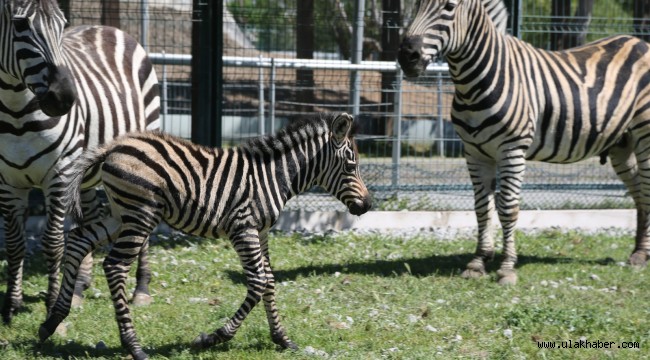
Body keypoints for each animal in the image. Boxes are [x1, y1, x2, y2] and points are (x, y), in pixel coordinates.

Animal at [0, 0, 159, 322]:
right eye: (20, 24)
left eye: (62, 25)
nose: (64, 98)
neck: (16, 111)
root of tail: (107, 27)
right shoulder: (9, 182)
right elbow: (14, 245)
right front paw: (12, 305)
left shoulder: (59, 174)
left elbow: (53, 243)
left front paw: (51, 305)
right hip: (86, 173)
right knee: (90, 219)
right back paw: (78, 287)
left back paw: (142, 289)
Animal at [40, 113, 372, 360]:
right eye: (352, 165)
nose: (368, 205)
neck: (273, 176)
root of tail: (113, 146)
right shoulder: (243, 227)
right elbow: (257, 282)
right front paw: (211, 338)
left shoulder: (261, 232)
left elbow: (269, 281)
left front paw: (282, 338)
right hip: (140, 213)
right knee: (115, 266)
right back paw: (133, 346)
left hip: (119, 213)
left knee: (78, 241)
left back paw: (53, 320)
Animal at [398, 0, 648, 286]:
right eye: (416, 5)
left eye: (449, 6)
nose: (406, 56)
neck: (475, 81)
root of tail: (639, 41)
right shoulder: (474, 153)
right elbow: (481, 208)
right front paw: (478, 262)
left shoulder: (512, 150)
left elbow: (507, 207)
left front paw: (507, 267)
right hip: (622, 144)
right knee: (639, 191)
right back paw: (638, 253)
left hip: (645, 133)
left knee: (646, 189)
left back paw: (642, 254)